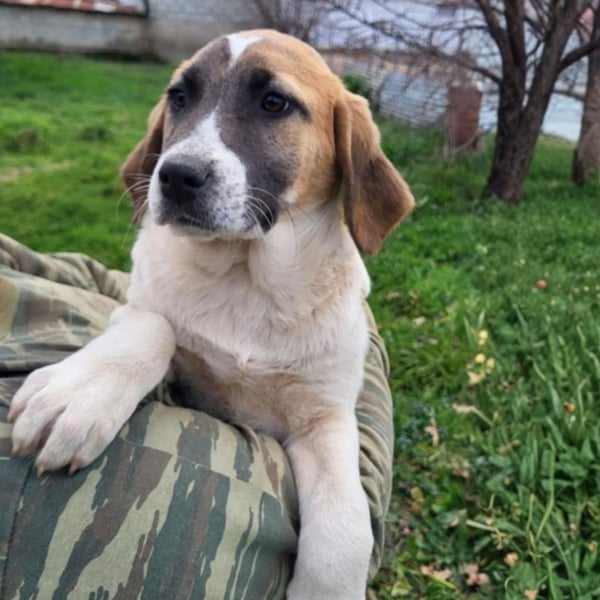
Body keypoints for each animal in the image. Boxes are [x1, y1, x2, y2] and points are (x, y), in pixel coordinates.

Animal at [8, 30, 414, 599]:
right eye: (179, 98)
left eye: (274, 103)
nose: (175, 176)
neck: (246, 280)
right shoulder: (132, 310)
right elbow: (155, 326)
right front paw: (79, 394)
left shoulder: (325, 417)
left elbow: (344, 524)